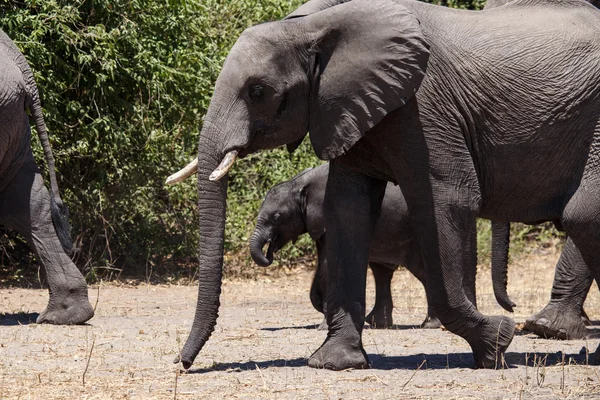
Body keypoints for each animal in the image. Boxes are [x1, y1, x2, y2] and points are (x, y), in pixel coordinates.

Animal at [248, 164, 516, 330]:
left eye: (276, 217)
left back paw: (429, 324)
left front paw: (324, 324)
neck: (301, 183)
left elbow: (329, 263)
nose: (270, 253)